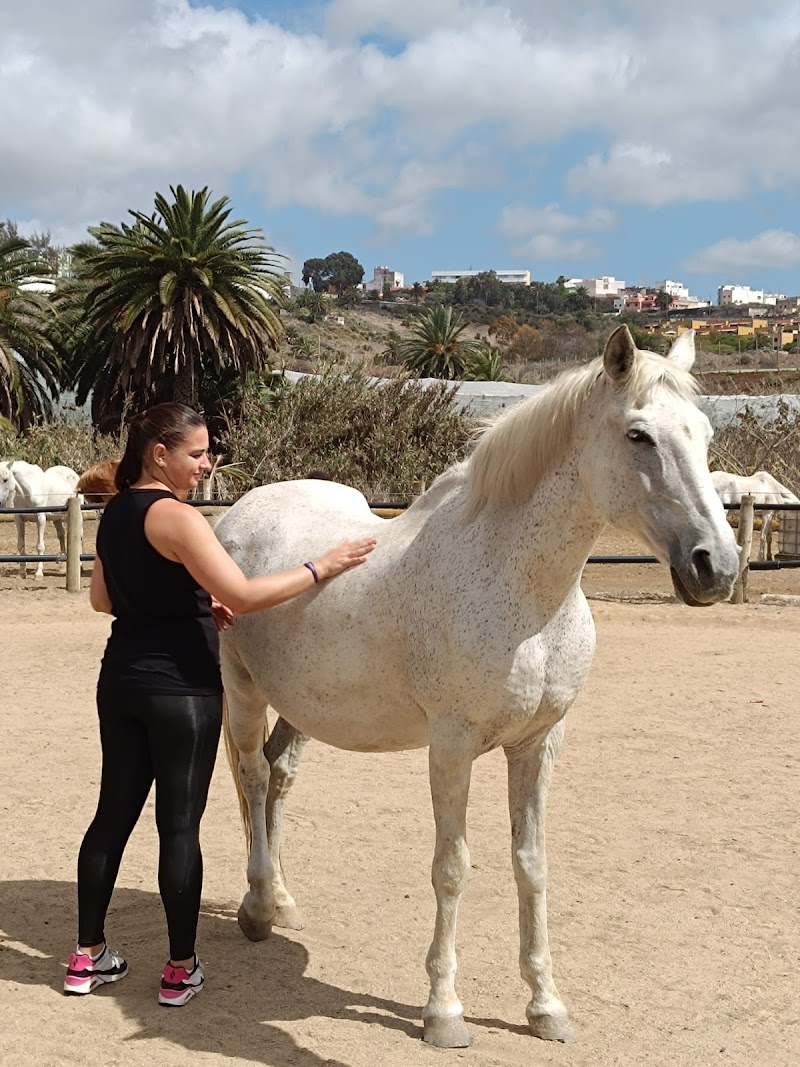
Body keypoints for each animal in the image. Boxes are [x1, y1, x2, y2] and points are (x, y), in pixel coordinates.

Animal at [215, 325, 740, 1050]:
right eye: (639, 435)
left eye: (705, 433)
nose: (716, 566)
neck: (521, 592)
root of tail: (241, 512)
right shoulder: (452, 746)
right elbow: (452, 868)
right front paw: (443, 1011)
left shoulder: (539, 744)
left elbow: (532, 864)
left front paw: (546, 1006)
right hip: (242, 689)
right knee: (252, 775)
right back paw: (259, 906)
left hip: (304, 708)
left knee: (279, 776)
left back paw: (283, 900)